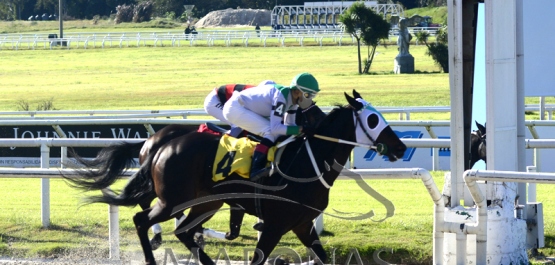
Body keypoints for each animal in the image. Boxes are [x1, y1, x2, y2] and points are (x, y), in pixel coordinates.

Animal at [64, 89, 408, 262]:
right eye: (374, 119)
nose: (400, 146)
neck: (305, 163)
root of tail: (161, 145)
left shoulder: (302, 223)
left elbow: (322, 257)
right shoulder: (277, 223)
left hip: (205, 202)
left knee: (182, 231)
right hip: (174, 200)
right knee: (143, 220)